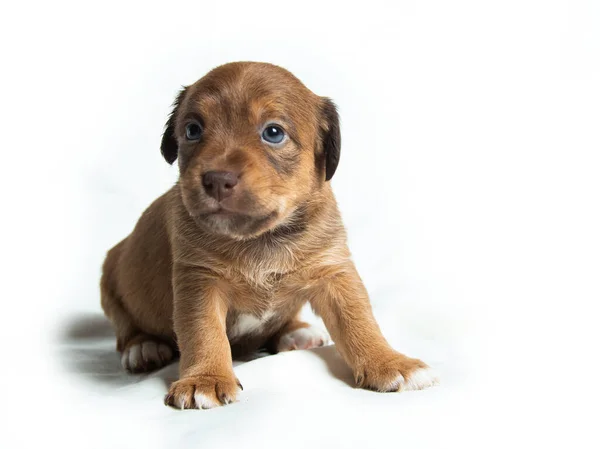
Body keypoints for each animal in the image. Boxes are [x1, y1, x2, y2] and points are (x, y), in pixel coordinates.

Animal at [98, 61, 436, 408]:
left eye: (273, 133)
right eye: (192, 130)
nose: (217, 179)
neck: (261, 238)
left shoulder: (333, 270)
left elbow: (358, 320)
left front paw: (389, 363)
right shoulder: (199, 280)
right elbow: (204, 332)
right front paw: (205, 379)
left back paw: (295, 332)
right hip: (111, 282)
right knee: (126, 328)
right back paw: (143, 347)